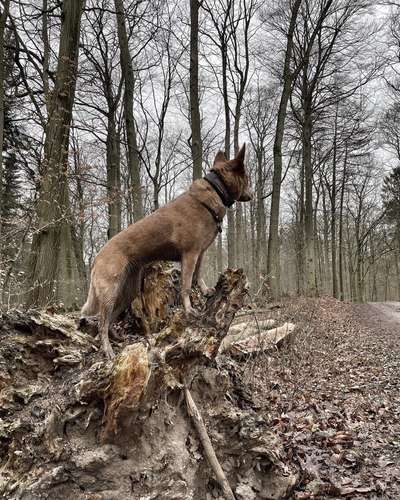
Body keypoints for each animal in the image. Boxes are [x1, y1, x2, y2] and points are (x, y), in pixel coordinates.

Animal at [79, 143, 252, 358]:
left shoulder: (200, 253)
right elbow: (186, 285)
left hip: (127, 292)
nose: (252, 195)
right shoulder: (190, 254)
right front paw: (189, 309)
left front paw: (205, 290)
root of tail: (97, 257)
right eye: (248, 178)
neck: (214, 192)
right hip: (110, 293)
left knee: (109, 320)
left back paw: (116, 339)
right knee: (101, 324)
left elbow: (198, 275)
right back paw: (108, 349)